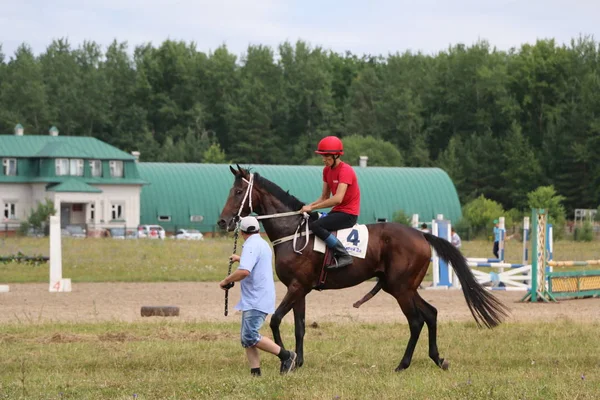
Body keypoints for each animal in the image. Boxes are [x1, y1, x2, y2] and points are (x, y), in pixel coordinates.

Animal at [218, 166, 508, 372]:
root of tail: (421, 234)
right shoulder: (298, 289)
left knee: (416, 321)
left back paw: (403, 364)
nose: (223, 221)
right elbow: (299, 326)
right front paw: (297, 362)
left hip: (400, 288)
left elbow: (276, 320)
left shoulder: (297, 287)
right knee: (431, 314)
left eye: (237, 192)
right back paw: (438, 359)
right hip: (404, 287)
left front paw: (285, 360)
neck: (294, 232)